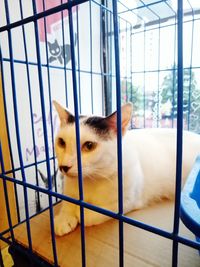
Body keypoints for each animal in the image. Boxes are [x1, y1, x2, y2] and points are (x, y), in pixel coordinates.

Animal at [52, 100, 200, 237]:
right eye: (61, 142)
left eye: (89, 145)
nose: (64, 166)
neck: (90, 180)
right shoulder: (70, 191)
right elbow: (68, 201)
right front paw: (63, 217)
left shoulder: (127, 202)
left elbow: (98, 212)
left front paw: (82, 213)